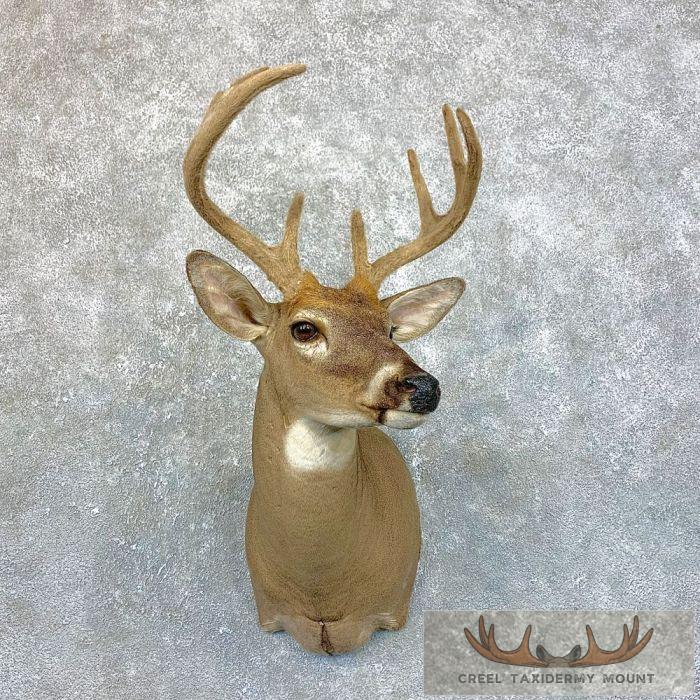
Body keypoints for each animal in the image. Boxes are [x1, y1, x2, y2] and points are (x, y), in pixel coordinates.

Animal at [183, 64, 481, 655]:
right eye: (304, 328)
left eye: (390, 327)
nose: (422, 386)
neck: (324, 586)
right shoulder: (271, 611)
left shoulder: (391, 607)